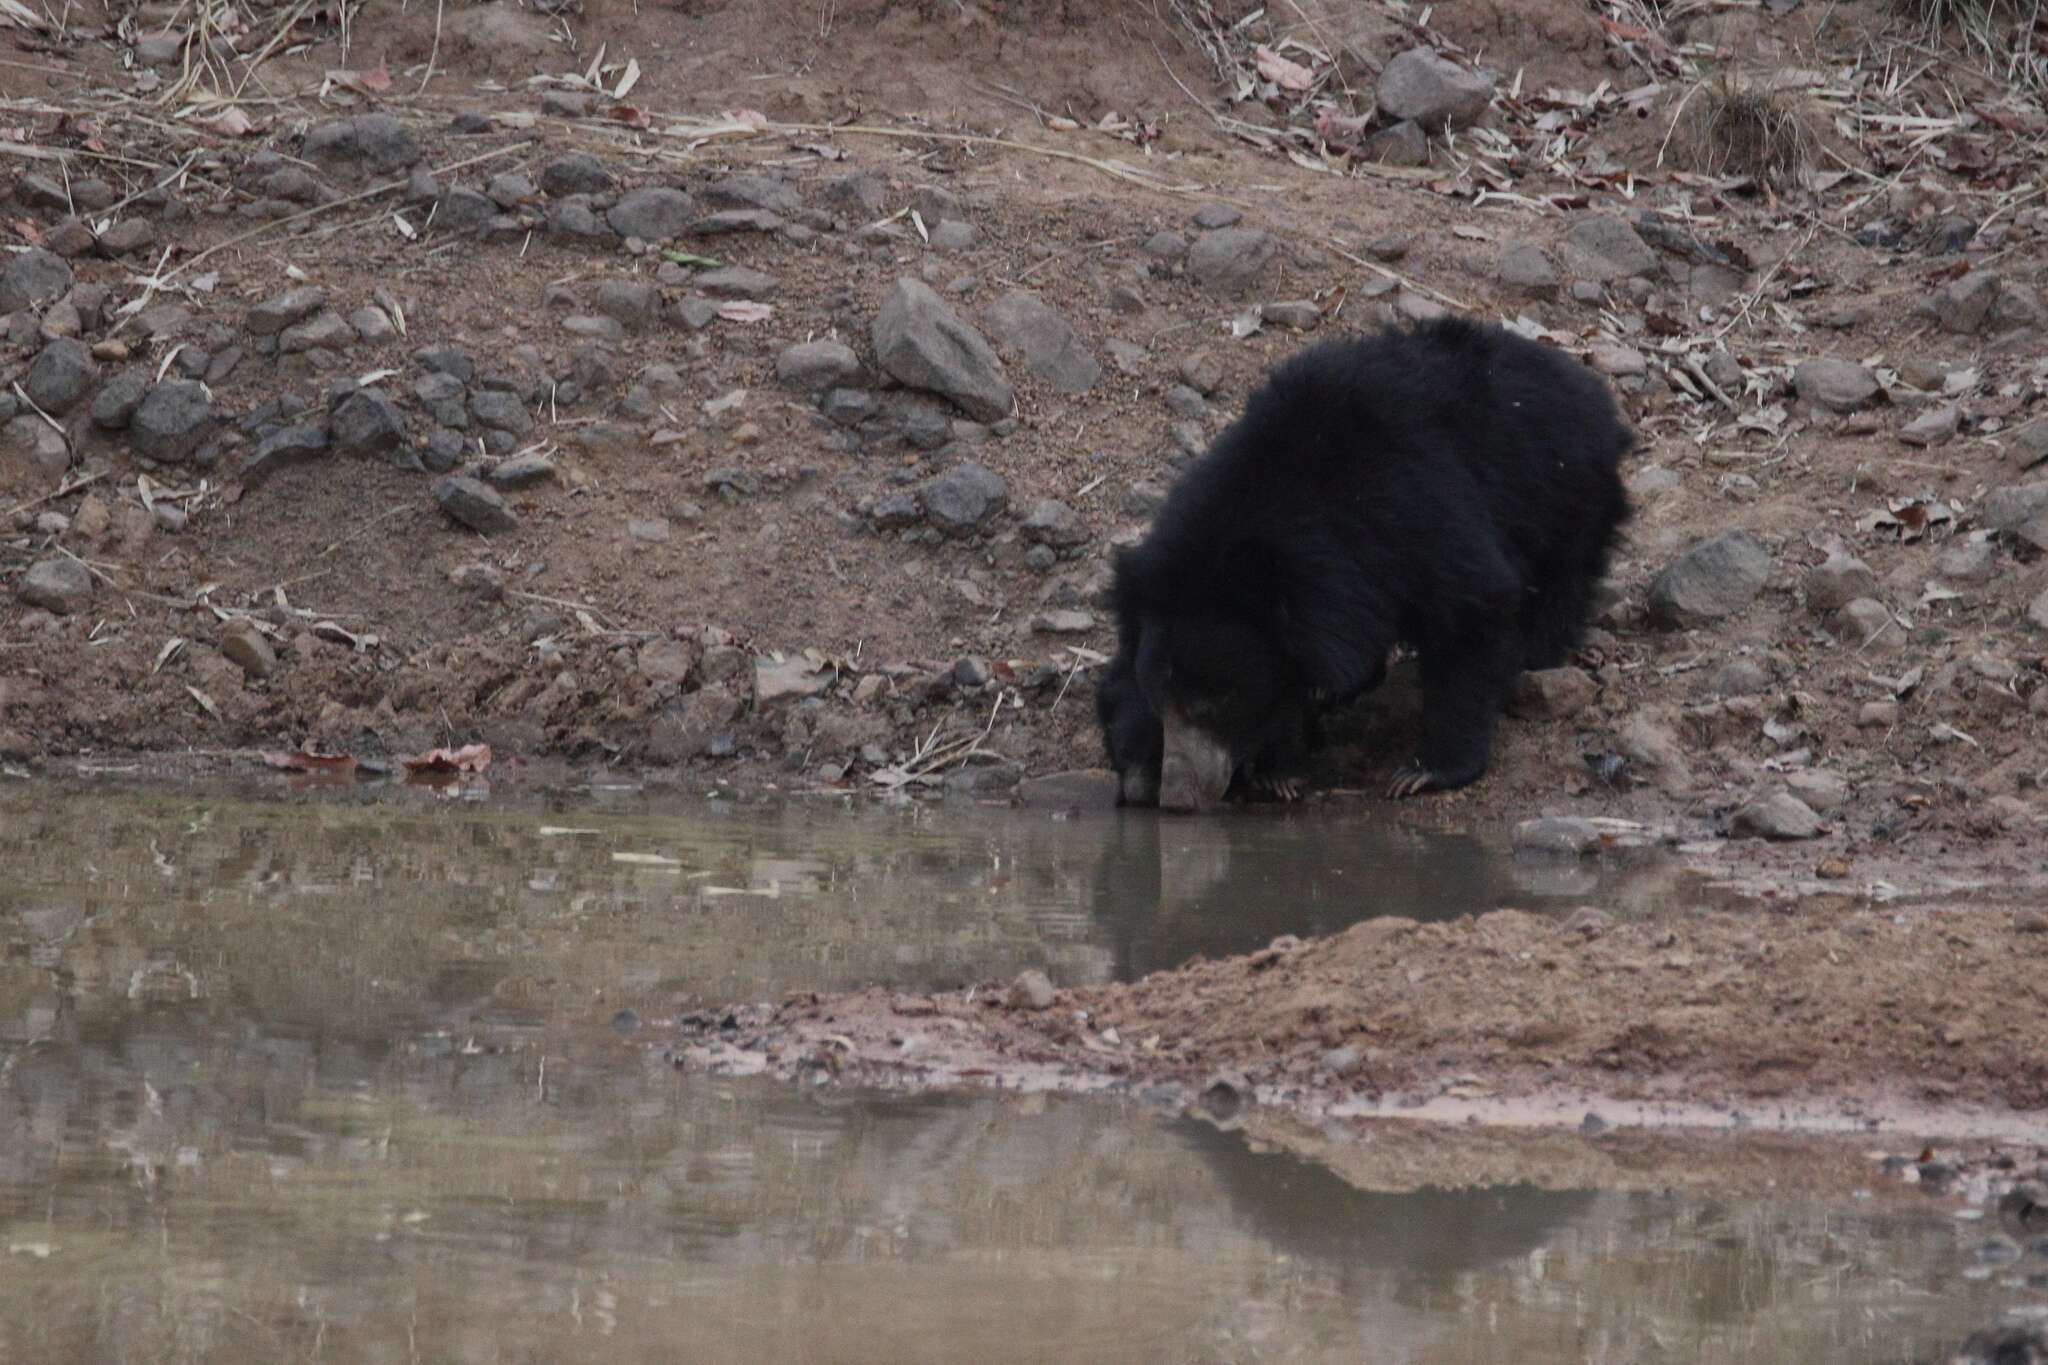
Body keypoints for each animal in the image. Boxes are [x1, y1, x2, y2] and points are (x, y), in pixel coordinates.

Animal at [1105, 321, 1630, 810]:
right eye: (1161, 702)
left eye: (1215, 704)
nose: (1178, 797)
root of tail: (1590, 390)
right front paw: (1275, 769)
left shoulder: (1415, 510)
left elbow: (1472, 607)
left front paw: (1425, 771)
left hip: (1563, 488)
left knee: (1563, 577)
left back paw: (1537, 651)